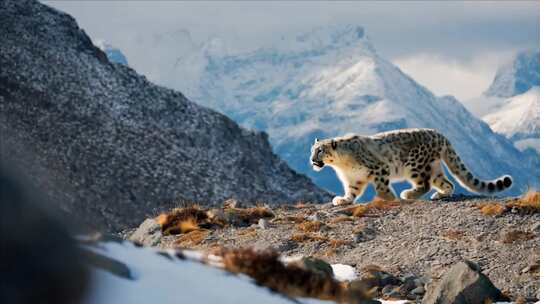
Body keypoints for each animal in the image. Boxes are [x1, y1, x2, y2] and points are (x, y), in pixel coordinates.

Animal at [310, 128, 512, 207]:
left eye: (320, 150)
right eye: (312, 150)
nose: (312, 160)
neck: (342, 165)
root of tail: (439, 134)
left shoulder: (379, 168)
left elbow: (382, 186)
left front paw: (387, 198)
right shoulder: (354, 179)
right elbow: (352, 192)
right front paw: (343, 200)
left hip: (415, 165)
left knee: (425, 183)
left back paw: (408, 194)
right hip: (434, 167)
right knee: (447, 183)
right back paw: (440, 195)